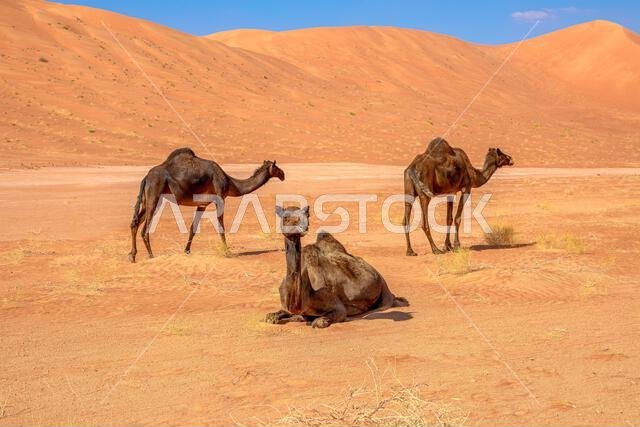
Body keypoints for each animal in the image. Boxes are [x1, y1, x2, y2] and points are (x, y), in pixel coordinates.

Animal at [128, 147, 285, 262]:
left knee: (135, 223)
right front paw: (226, 251)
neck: (231, 183)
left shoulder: (202, 204)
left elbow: (193, 228)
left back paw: (132, 255)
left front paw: (187, 251)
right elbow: (221, 226)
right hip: (155, 194)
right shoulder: (220, 198)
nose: (283, 174)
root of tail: (146, 177)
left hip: (148, 199)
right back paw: (150, 255)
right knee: (145, 229)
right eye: (276, 167)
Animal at [265, 206, 408, 328]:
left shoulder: (337, 306)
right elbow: (272, 316)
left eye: (307, 214)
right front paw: (277, 316)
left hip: (384, 289)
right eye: (285, 217)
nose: (304, 227)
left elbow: (319, 321)